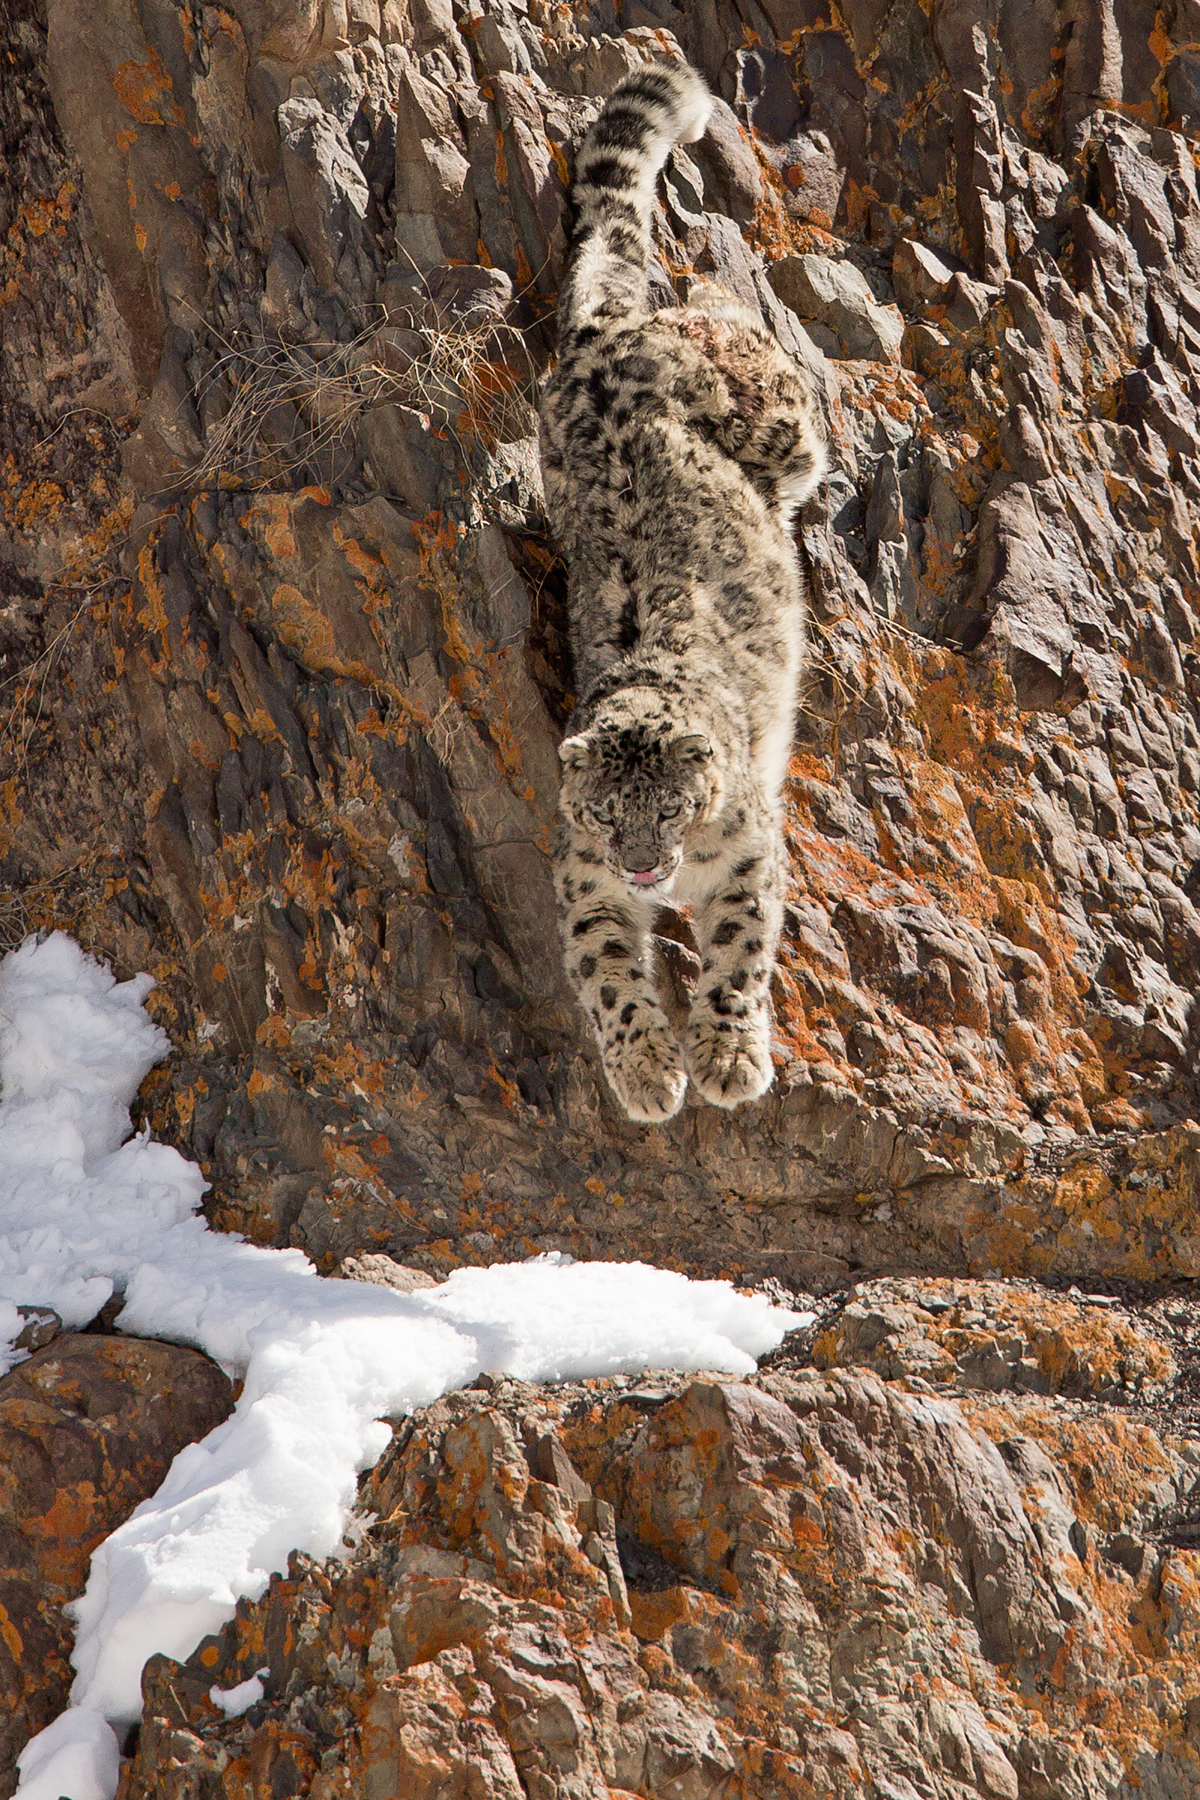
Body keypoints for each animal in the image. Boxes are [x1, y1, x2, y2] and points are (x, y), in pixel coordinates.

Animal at [543, 59, 831, 1123]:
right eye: (604, 815)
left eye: (669, 809)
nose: (642, 863)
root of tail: (608, 340)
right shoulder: (581, 878)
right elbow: (605, 971)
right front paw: (648, 1071)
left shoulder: (748, 852)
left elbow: (742, 952)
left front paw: (726, 1058)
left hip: (775, 422)